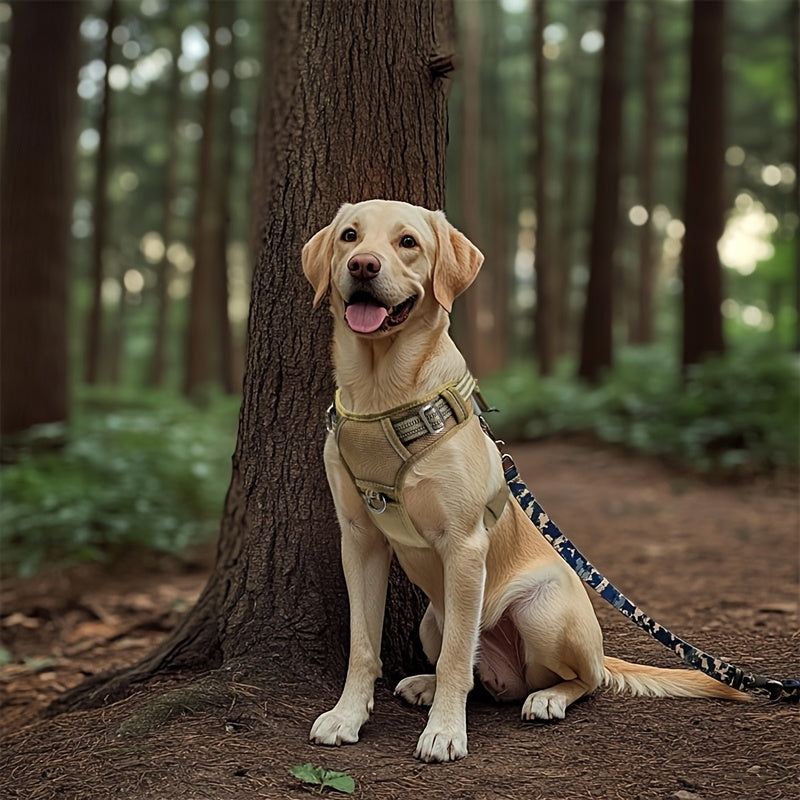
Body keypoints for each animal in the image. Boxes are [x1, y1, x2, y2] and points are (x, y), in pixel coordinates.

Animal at [304, 200, 748, 764]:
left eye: (407, 242)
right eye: (349, 236)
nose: (363, 265)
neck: (382, 391)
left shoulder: (465, 546)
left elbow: (456, 659)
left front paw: (444, 732)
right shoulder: (360, 540)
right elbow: (364, 646)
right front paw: (347, 717)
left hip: (542, 611)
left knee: (582, 678)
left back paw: (546, 698)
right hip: (434, 618)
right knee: (477, 671)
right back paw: (427, 685)